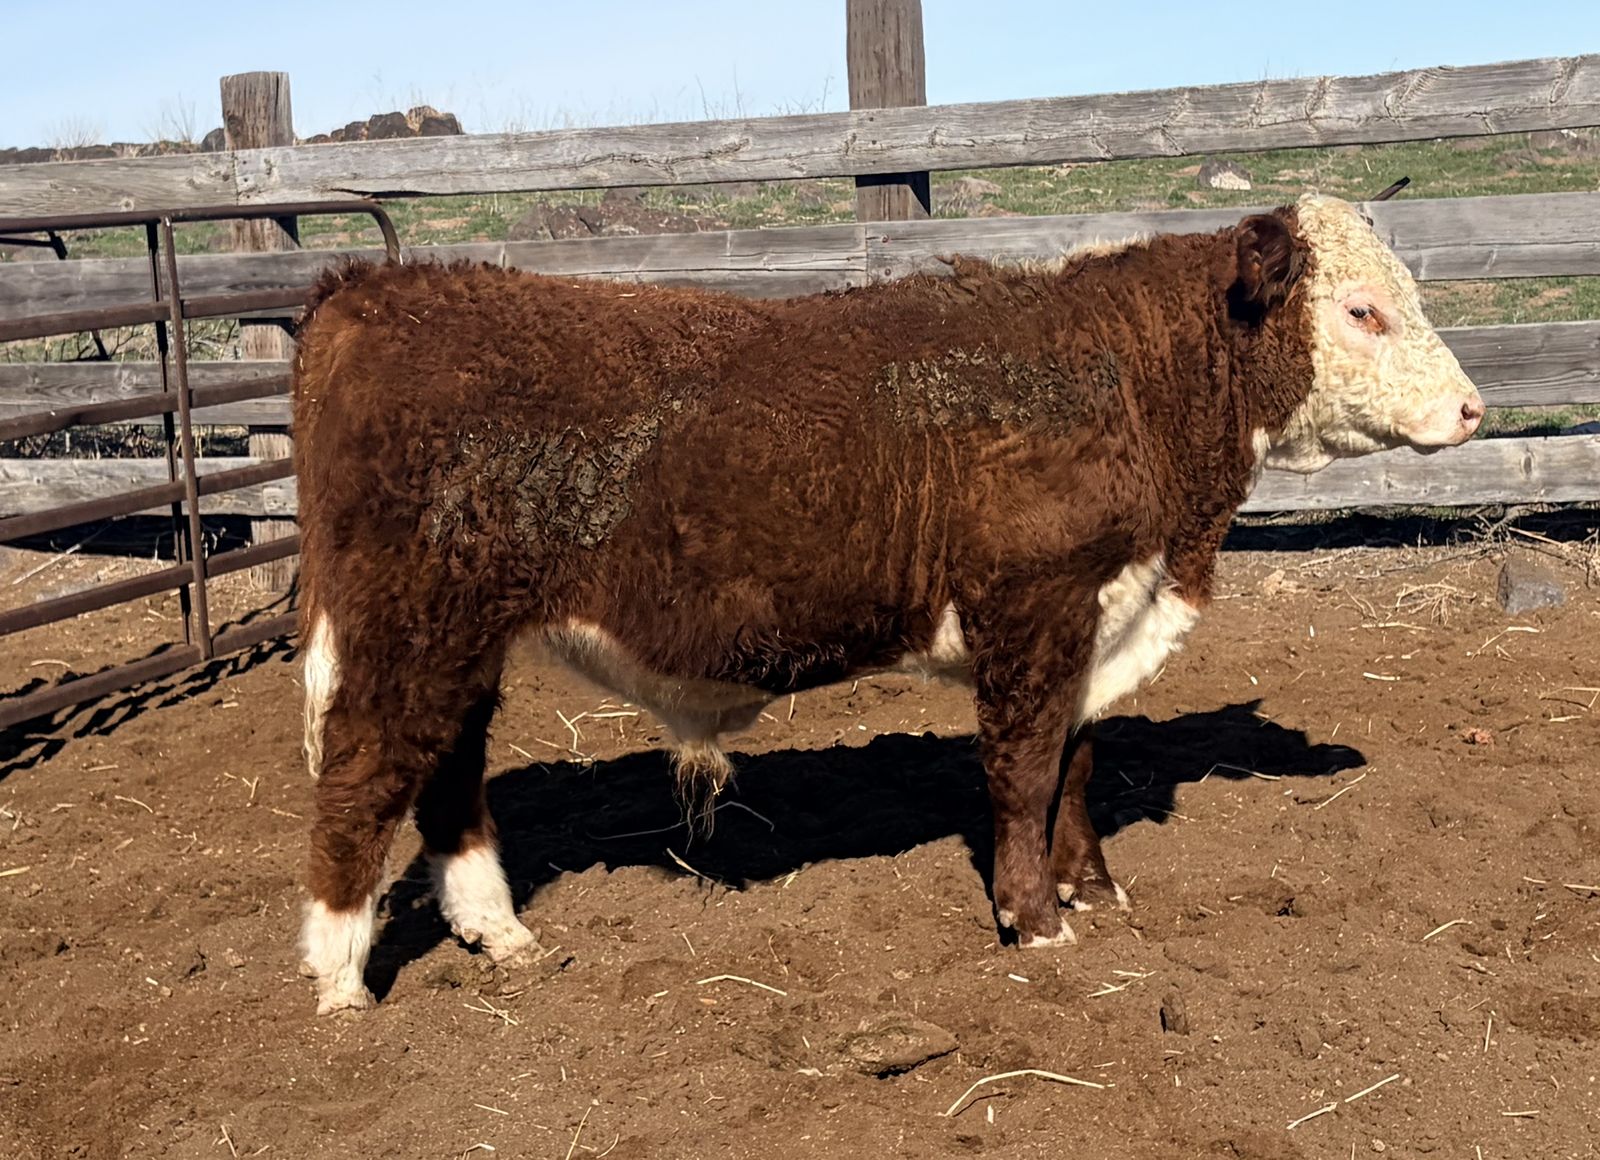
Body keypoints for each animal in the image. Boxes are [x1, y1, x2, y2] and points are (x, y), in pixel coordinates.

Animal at [290, 193, 1483, 1014]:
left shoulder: (1098, 614)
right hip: (405, 629)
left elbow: (1077, 762)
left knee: (447, 773)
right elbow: (1021, 771)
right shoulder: (1031, 610)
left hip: (459, 637)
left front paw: (1091, 890)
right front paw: (1035, 922)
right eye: (1362, 310)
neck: (1127, 383)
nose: (1474, 409)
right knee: (359, 777)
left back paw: (498, 933)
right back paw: (340, 979)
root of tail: (371, 292)